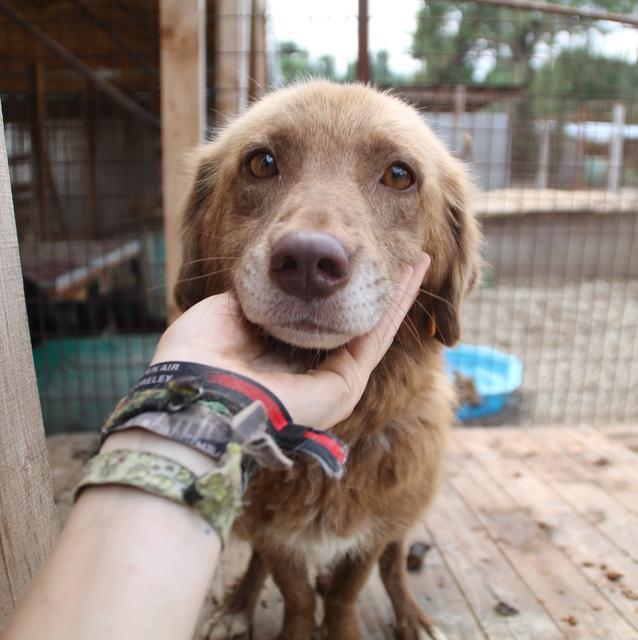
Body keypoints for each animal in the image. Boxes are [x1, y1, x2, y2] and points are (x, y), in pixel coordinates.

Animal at [175, 82, 480, 640]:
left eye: (399, 175)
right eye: (261, 163)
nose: (308, 262)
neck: (339, 431)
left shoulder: (372, 529)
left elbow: (345, 592)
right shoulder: (272, 531)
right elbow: (294, 591)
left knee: (396, 560)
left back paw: (412, 615)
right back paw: (236, 607)